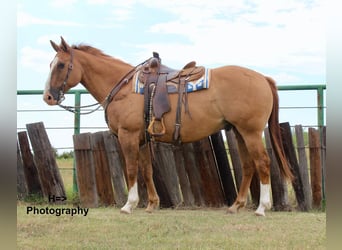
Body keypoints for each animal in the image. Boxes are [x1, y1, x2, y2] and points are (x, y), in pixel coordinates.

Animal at [44, 37, 292, 217]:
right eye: (51, 64)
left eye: (61, 64)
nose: (48, 97)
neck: (123, 87)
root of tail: (262, 78)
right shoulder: (142, 139)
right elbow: (146, 170)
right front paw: (152, 204)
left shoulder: (128, 136)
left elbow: (131, 169)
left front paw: (129, 205)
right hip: (240, 132)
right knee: (249, 166)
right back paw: (235, 205)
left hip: (251, 132)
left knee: (263, 163)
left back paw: (261, 208)